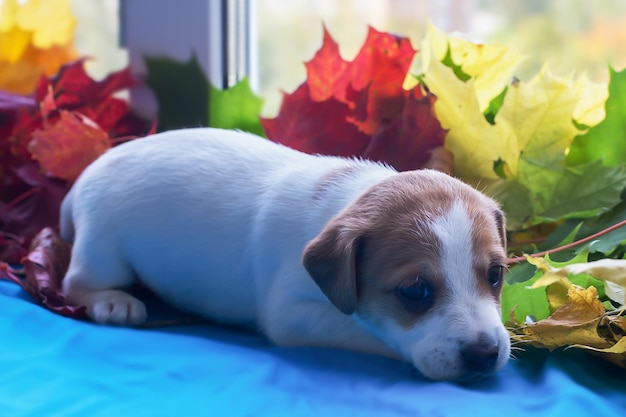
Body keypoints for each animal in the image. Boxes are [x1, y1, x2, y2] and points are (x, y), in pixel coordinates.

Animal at [59, 127, 508, 380]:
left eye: (496, 275)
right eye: (414, 291)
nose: (486, 355)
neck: (348, 200)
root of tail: (82, 177)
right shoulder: (292, 315)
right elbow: (366, 330)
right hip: (103, 252)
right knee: (75, 282)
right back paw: (112, 302)